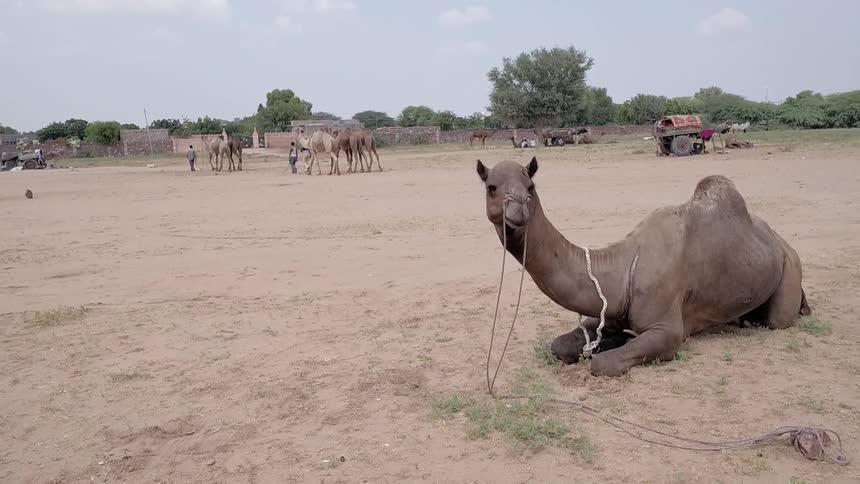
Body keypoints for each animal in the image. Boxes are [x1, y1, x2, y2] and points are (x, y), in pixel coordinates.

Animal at [476, 157, 810, 377]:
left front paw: (613, 348)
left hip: (790, 267)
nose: (517, 212)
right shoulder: (609, 308)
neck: (626, 265)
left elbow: (603, 363)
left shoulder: (668, 329)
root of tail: (780, 241)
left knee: (778, 317)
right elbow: (560, 345)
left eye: (530, 187)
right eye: (491, 187)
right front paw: (612, 340)